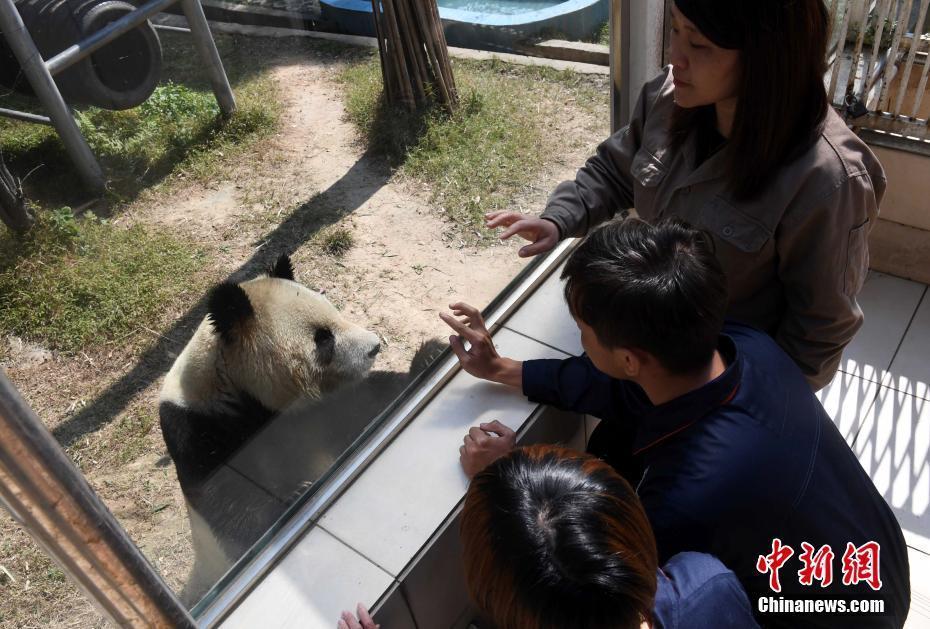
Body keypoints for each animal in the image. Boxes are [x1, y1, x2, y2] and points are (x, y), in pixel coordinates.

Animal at [158, 253, 378, 596]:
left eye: (335, 311)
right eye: (323, 338)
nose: (374, 347)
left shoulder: (313, 411)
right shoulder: (197, 432)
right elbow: (231, 505)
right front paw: (297, 494)